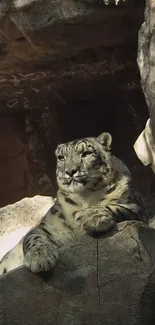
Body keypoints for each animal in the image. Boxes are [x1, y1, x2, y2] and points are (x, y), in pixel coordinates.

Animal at [0, 132, 148, 274]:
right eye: (61, 157)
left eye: (86, 153)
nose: (70, 171)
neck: (85, 196)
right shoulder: (45, 227)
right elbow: (34, 238)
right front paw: (40, 258)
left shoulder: (138, 208)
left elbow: (118, 207)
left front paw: (90, 217)